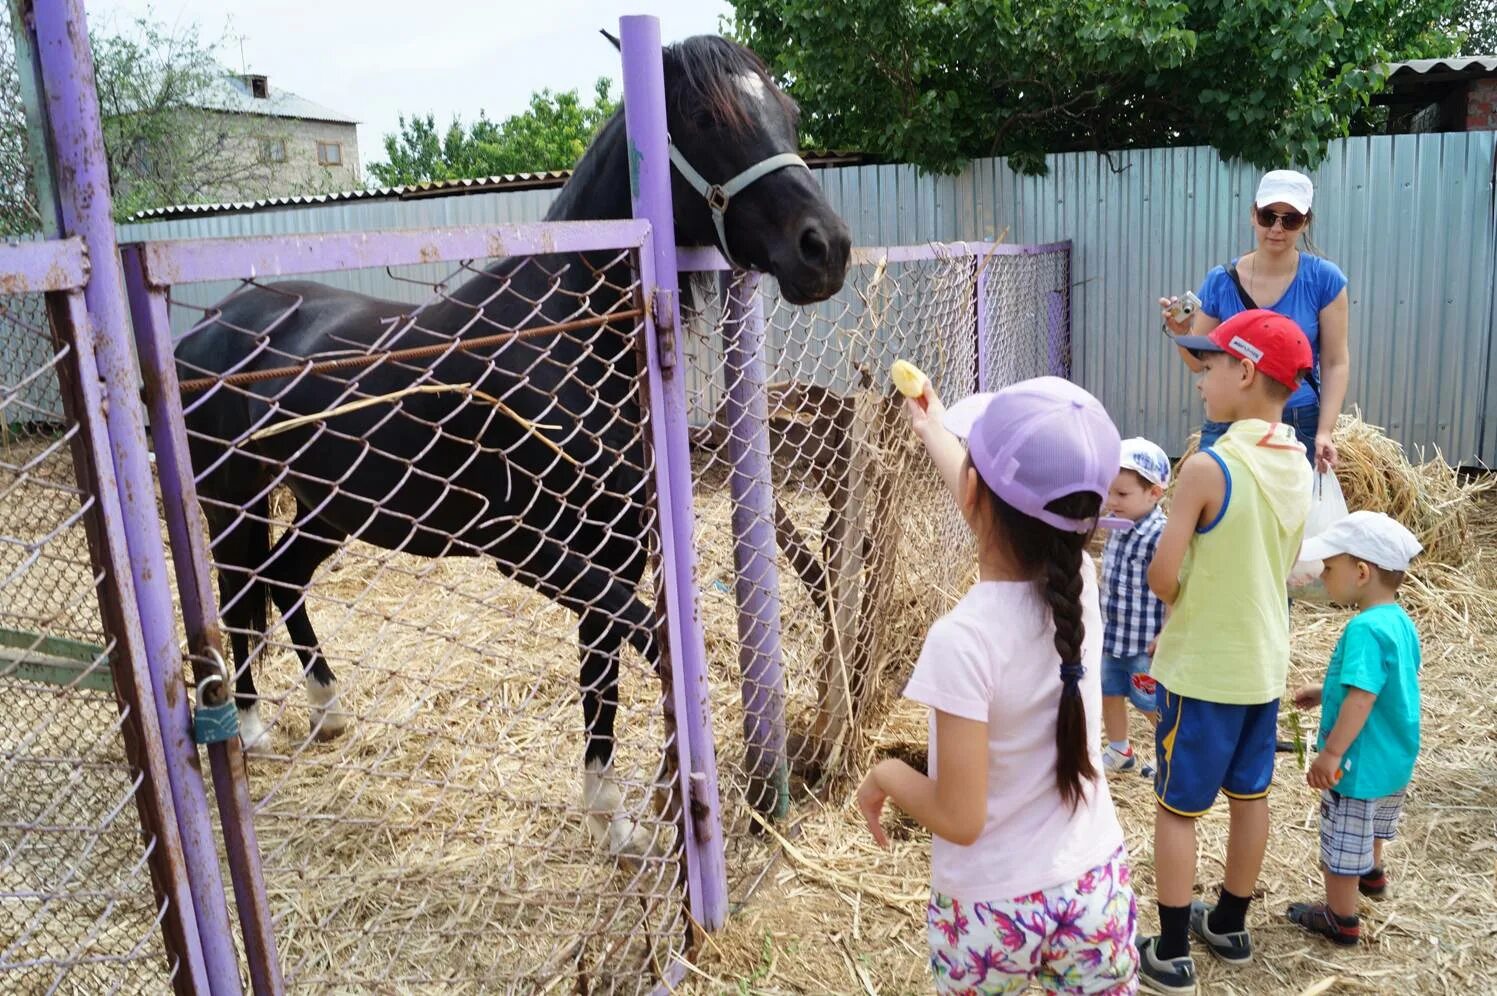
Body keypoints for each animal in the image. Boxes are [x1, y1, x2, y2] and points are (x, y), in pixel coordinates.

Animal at [173, 35, 850, 850]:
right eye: (700, 115)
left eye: (789, 111)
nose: (825, 249)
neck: (565, 342)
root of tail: (205, 331)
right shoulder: (530, 552)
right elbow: (651, 641)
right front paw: (669, 795)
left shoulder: (615, 545)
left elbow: (602, 663)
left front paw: (612, 814)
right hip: (231, 501)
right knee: (241, 590)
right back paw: (247, 725)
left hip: (332, 509)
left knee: (282, 578)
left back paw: (328, 709)